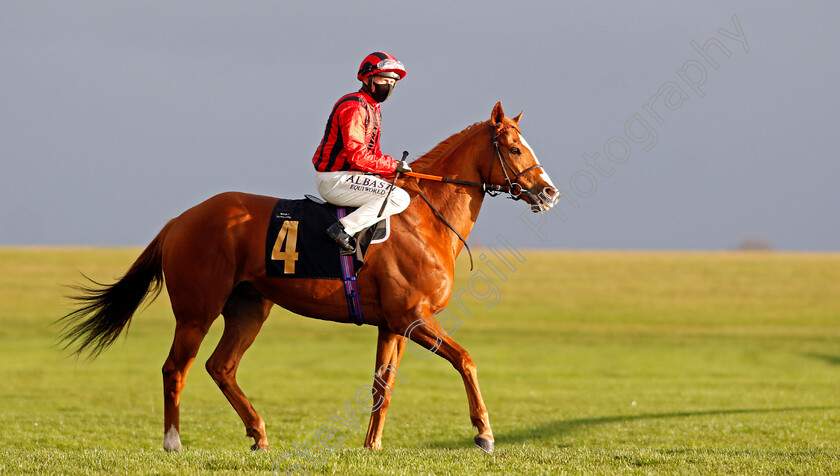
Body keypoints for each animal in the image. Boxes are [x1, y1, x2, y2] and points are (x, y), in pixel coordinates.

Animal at [57, 101, 556, 454]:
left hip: (249, 308)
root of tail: (181, 219)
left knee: (221, 366)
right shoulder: (413, 318)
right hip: (197, 312)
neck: (424, 218)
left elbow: (383, 383)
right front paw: (485, 433)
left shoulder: (393, 325)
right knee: (175, 369)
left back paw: (258, 433)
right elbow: (466, 360)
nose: (549, 191)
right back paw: (173, 442)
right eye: (515, 148)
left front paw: (372, 445)